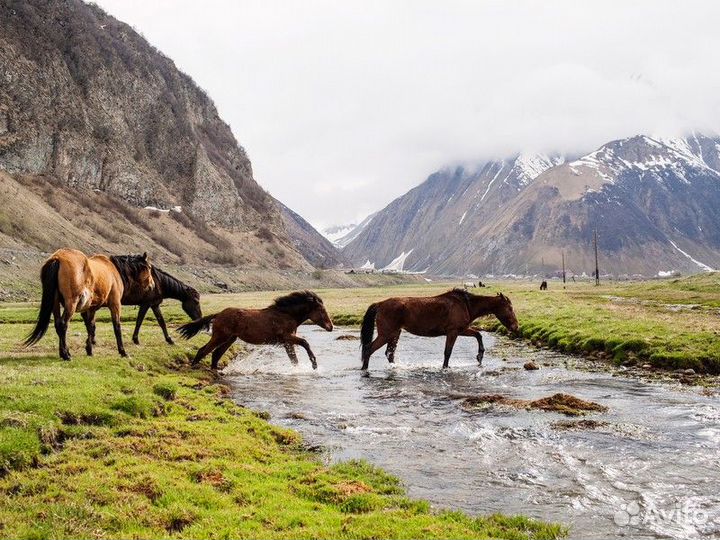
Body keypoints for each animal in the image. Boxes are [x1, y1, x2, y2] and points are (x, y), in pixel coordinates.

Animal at [25, 250, 153, 360]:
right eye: (149, 268)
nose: (152, 285)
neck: (114, 270)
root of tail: (57, 258)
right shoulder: (115, 304)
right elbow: (116, 327)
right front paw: (122, 351)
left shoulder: (90, 309)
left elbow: (91, 327)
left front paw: (89, 349)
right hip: (71, 304)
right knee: (63, 324)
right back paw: (66, 355)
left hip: (55, 303)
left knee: (58, 324)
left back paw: (63, 352)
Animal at [176, 292, 334, 372]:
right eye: (321, 310)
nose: (330, 327)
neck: (286, 314)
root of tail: (218, 314)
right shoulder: (287, 337)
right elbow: (305, 343)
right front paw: (314, 364)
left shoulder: (287, 341)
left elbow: (294, 359)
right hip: (221, 336)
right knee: (203, 350)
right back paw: (193, 368)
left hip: (230, 339)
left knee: (215, 354)